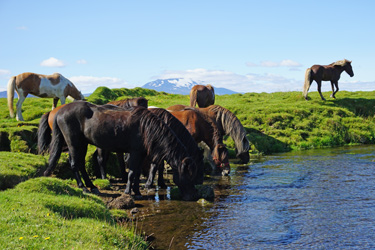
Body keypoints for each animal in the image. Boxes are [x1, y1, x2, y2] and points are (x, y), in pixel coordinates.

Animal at [41, 100, 200, 200]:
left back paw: (92, 186)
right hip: (74, 142)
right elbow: (131, 173)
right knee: (74, 163)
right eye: (189, 175)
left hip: (83, 143)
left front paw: (137, 191)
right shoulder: (135, 152)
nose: (193, 196)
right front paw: (129, 191)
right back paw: (83, 187)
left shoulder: (141, 153)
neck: (146, 128)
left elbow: (137, 173)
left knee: (80, 163)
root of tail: (59, 112)